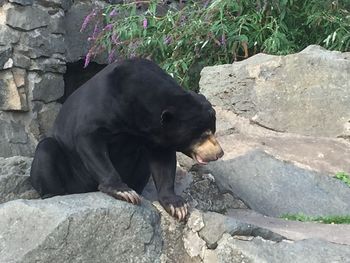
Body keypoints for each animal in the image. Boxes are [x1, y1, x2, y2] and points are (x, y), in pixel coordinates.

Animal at [29, 58, 221, 222]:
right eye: (203, 134)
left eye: (213, 130)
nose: (219, 153)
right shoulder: (102, 108)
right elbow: (88, 140)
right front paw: (124, 191)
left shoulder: (155, 135)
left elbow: (163, 162)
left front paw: (177, 205)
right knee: (46, 149)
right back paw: (55, 194)